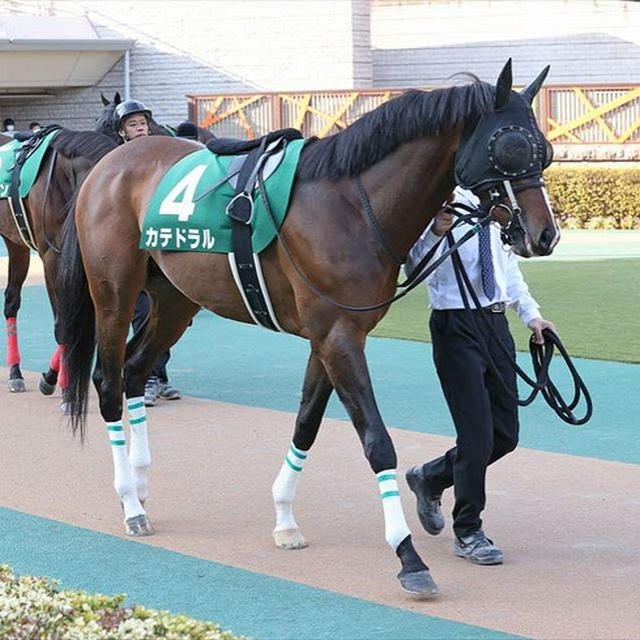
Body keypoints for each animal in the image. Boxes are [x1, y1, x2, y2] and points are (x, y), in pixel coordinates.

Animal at [58, 61, 560, 600]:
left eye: (544, 151)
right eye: (509, 147)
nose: (544, 234)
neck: (354, 205)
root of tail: (110, 163)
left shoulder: (328, 337)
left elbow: (307, 424)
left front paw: (284, 518)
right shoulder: (339, 337)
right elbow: (376, 441)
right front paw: (408, 557)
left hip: (175, 298)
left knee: (134, 370)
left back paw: (140, 483)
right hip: (114, 292)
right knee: (109, 381)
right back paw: (130, 503)